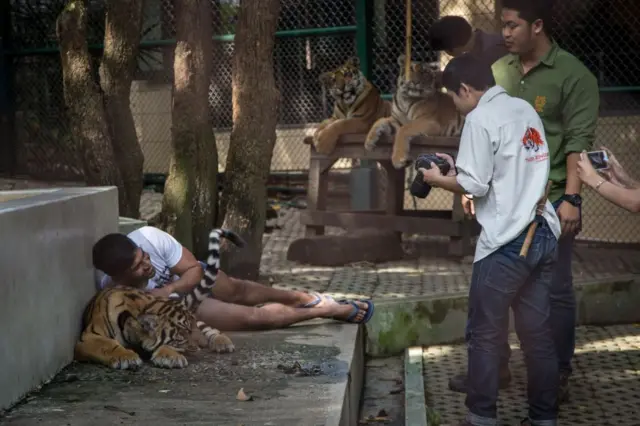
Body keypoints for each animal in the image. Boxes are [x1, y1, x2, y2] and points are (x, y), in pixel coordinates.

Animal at [74, 228, 246, 370]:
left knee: (210, 327)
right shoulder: (87, 338)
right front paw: (126, 357)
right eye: (183, 334)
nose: (199, 347)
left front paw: (170, 356)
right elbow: (107, 345)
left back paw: (222, 342)